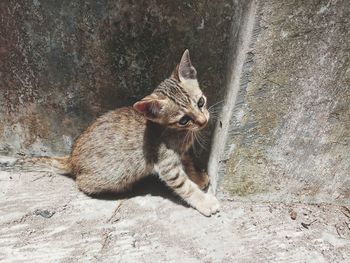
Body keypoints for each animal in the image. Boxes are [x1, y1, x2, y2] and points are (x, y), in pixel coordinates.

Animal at [5, 50, 220, 218]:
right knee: (80, 182)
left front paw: (198, 177)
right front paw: (205, 202)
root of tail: (71, 158)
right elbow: (184, 185)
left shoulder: (181, 153)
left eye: (201, 102)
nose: (203, 121)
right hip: (113, 176)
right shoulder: (166, 164)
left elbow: (188, 162)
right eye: (183, 120)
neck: (179, 133)